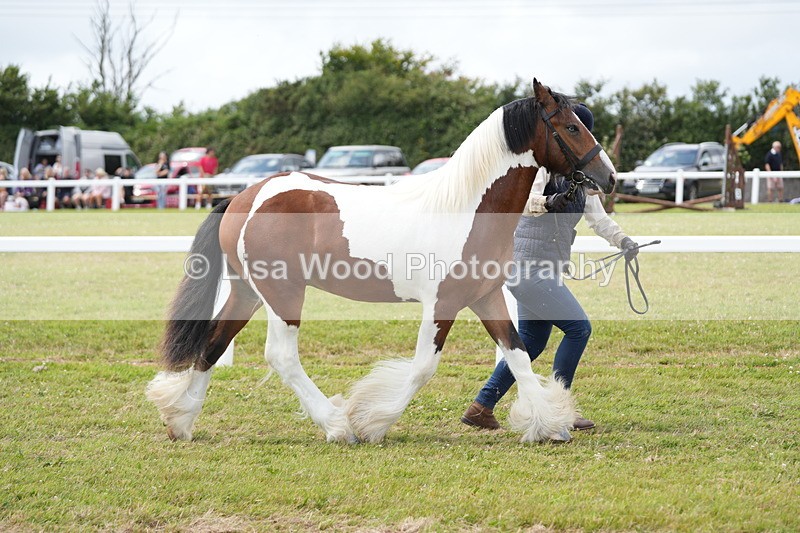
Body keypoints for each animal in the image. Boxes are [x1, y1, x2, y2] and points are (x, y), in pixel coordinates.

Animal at [146, 79, 617, 444]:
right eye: (571, 127)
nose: (609, 178)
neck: (466, 208)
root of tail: (245, 197)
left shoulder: (486, 297)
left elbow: (517, 355)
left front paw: (550, 424)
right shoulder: (442, 303)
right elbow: (423, 367)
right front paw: (373, 421)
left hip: (247, 291)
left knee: (213, 343)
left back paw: (180, 420)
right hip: (283, 294)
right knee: (280, 356)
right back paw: (337, 425)